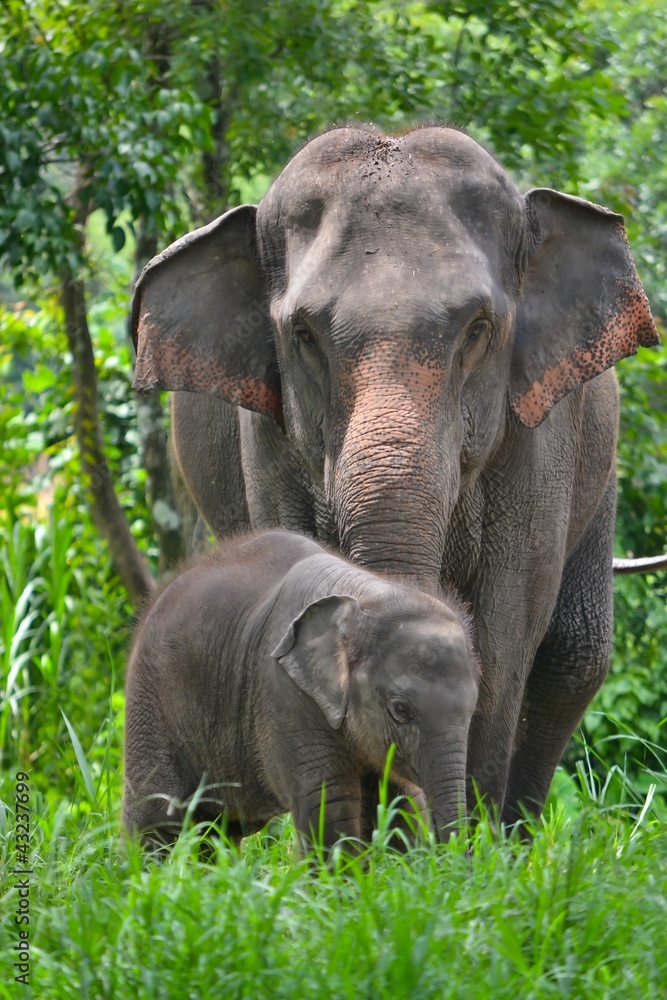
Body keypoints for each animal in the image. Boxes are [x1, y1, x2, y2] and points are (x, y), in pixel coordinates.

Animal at [123, 530, 479, 850]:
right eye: (400, 708)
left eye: (472, 709)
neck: (368, 596)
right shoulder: (284, 691)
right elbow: (330, 802)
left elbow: (399, 798)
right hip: (149, 702)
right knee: (154, 822)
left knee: (218, 832)